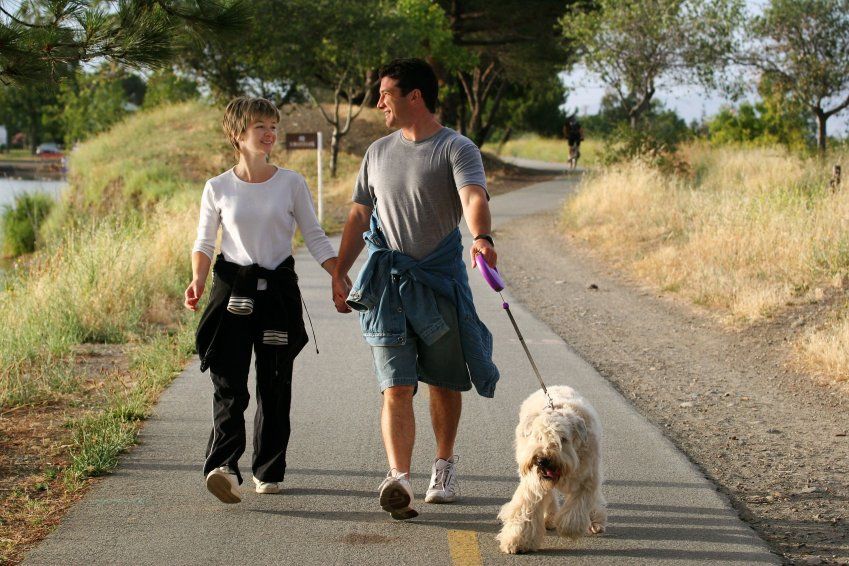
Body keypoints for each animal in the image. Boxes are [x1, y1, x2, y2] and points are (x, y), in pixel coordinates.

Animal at [494, 386, 608, 556]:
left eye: (563, 439)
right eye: (538, 436)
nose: (543, 460)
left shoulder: (587, 480)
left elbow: (576, 508)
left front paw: (569, 529)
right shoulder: (534, 484)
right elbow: (527, 509)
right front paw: (518, 541)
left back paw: (594, 521)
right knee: (550, 497)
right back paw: (549, 518)